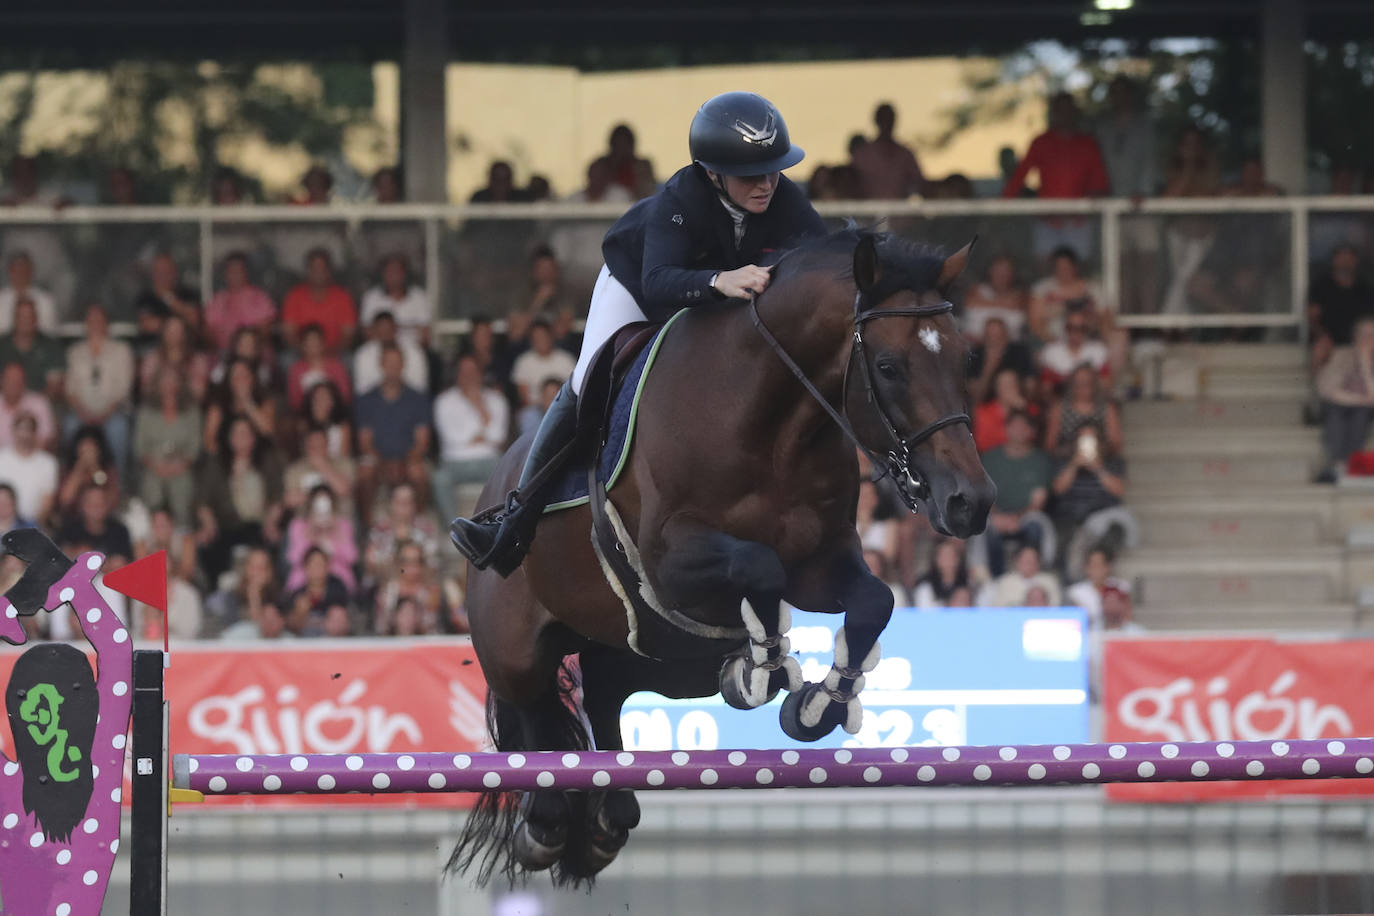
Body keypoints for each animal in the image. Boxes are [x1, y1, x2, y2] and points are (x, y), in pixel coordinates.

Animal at [456, 230, 994, 889]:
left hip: (657, 657)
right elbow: (758, 567)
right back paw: (549, 822)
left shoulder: (820, 561)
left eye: (966, 360)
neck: (771, 419)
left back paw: (610, 815)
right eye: (889, 367)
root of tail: (492, 486)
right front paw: (762, 666)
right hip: (515, 646)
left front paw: (819, 703)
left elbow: (873, 599)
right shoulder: (669, 560)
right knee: (532, 713)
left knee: (602, 693)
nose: (969, 503)